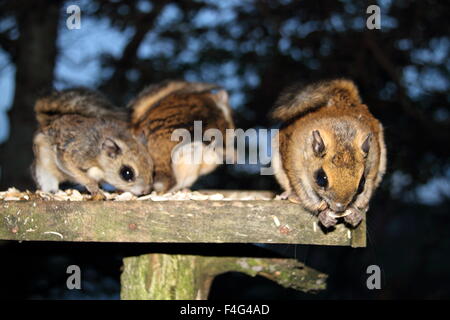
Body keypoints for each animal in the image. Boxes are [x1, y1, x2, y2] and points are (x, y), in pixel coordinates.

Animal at [270, 79, 386, 229]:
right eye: (321, 178)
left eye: (362, 183)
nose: (339, 207)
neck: (341, 135)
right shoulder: (297, 170)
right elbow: (308, 196)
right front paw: (323, 214)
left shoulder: (373, 168)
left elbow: (364, 194)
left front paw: (354, 212)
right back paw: (289, 195)